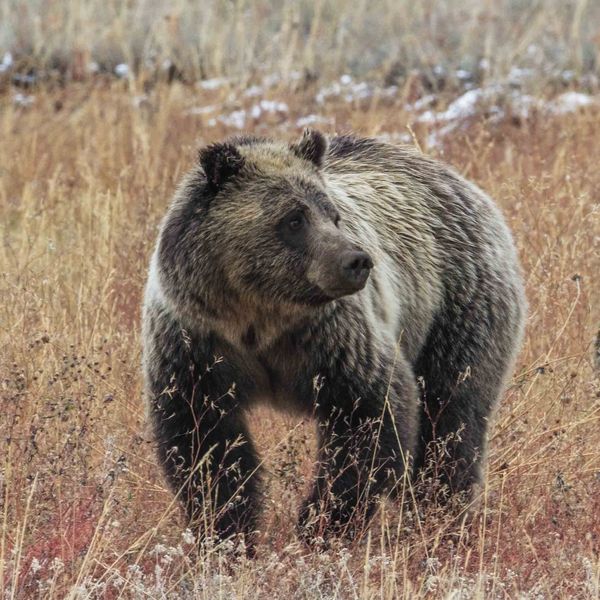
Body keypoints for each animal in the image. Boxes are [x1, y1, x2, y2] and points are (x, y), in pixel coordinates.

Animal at [141, 131, 524, 548]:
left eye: (333, 215)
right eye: (294, 219)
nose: (357, 261)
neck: (259, 317)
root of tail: (463, 182)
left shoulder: (334, 341)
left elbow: (371, 416)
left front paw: (321, 523)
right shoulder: (197, 343)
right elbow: (205, 441)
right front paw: (226, 528)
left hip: (456, 307)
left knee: (452, 416)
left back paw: (441, 514)